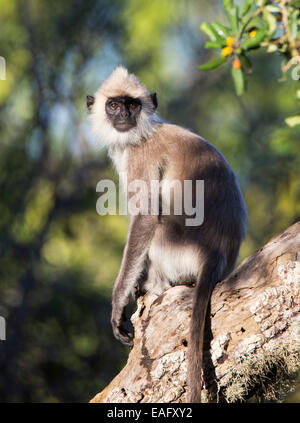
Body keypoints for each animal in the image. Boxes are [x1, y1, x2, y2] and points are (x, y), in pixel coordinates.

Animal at [85, 67, 247, 404]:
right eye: (114, 105)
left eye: (132, 105)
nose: (124, 116)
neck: (141, 134)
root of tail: (216, 256)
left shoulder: (140, 155)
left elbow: (146, 216)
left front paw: (119, 302)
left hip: (180, 249)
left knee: (157, 223)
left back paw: (153, 285)